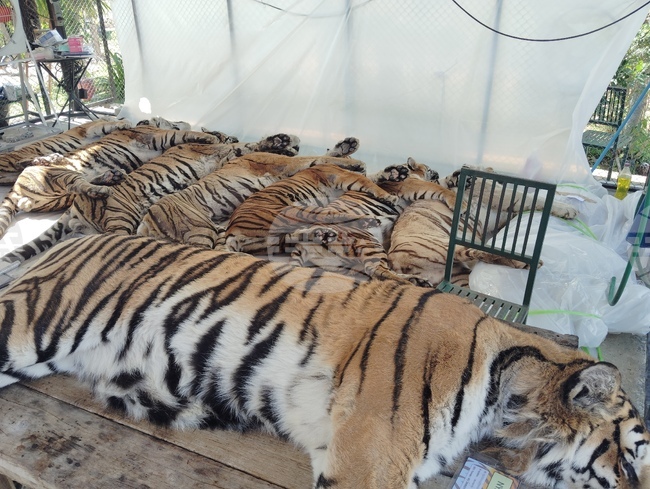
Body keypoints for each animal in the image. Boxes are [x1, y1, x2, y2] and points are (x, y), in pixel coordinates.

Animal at [0, 117, 133, 184]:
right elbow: (108, 124)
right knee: (21, 162)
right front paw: (124, 123)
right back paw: (49, 158)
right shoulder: (90, 129)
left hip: (11, 176)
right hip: (17, 158)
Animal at [0, 125, 224, 239]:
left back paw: (110, 177)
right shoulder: (156, 136)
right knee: (78, 183)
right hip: (58, 175)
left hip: (58, 197)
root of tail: (15, 189)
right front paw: (210, 137)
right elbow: (182, 133)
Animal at [137, 138, 364, 249]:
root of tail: (145, 222)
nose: (293, 146)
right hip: (199, 230)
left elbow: (320, 157)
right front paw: (355, 163)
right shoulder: (286, 163)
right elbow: (317, 158)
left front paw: (347, 147)